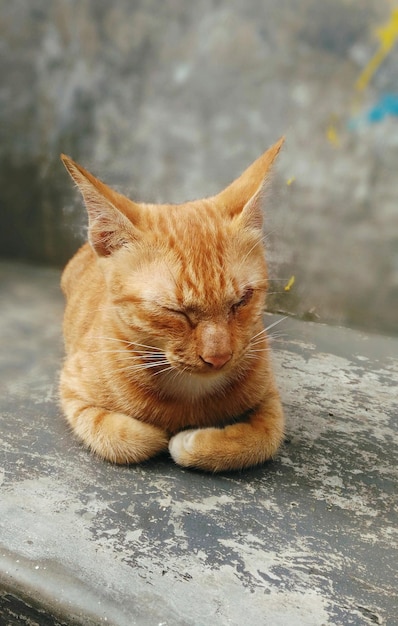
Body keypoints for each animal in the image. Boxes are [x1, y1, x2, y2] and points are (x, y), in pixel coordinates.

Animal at [59, 136, 284, 468]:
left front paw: (193, 442)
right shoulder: (71, 387)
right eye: (174, 311)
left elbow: (265, 437)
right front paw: (158, 435)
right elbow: (125, 438)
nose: (219, 358)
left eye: (242, 300)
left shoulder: (270, 396)